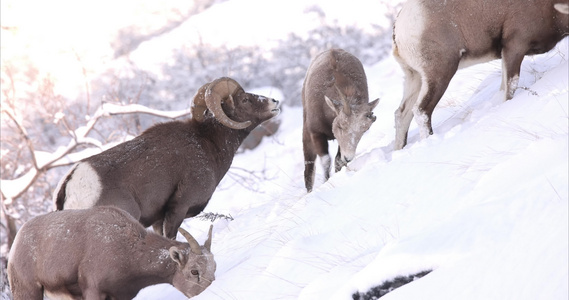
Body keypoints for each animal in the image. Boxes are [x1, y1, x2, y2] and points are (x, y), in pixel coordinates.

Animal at [54, 77, 280, 239]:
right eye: (245, 99)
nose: (275, 101)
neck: (207, 144)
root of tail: (72, 185)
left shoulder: (157, 219)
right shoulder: (178, 208)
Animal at [300, 48, 380, 191]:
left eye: (365, 130)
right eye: (341, 126)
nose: (349, 157)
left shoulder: (340, 142)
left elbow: (338, 160)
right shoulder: (316, 134)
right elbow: (326, 161)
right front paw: (326, 181)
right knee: (309, 167)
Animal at [390, 0, 568, 150]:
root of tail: (399, 28)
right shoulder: (514, 47)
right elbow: (510, 87)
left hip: (415, 78)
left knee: (402, 114)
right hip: (439, 74)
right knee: (422, 111)